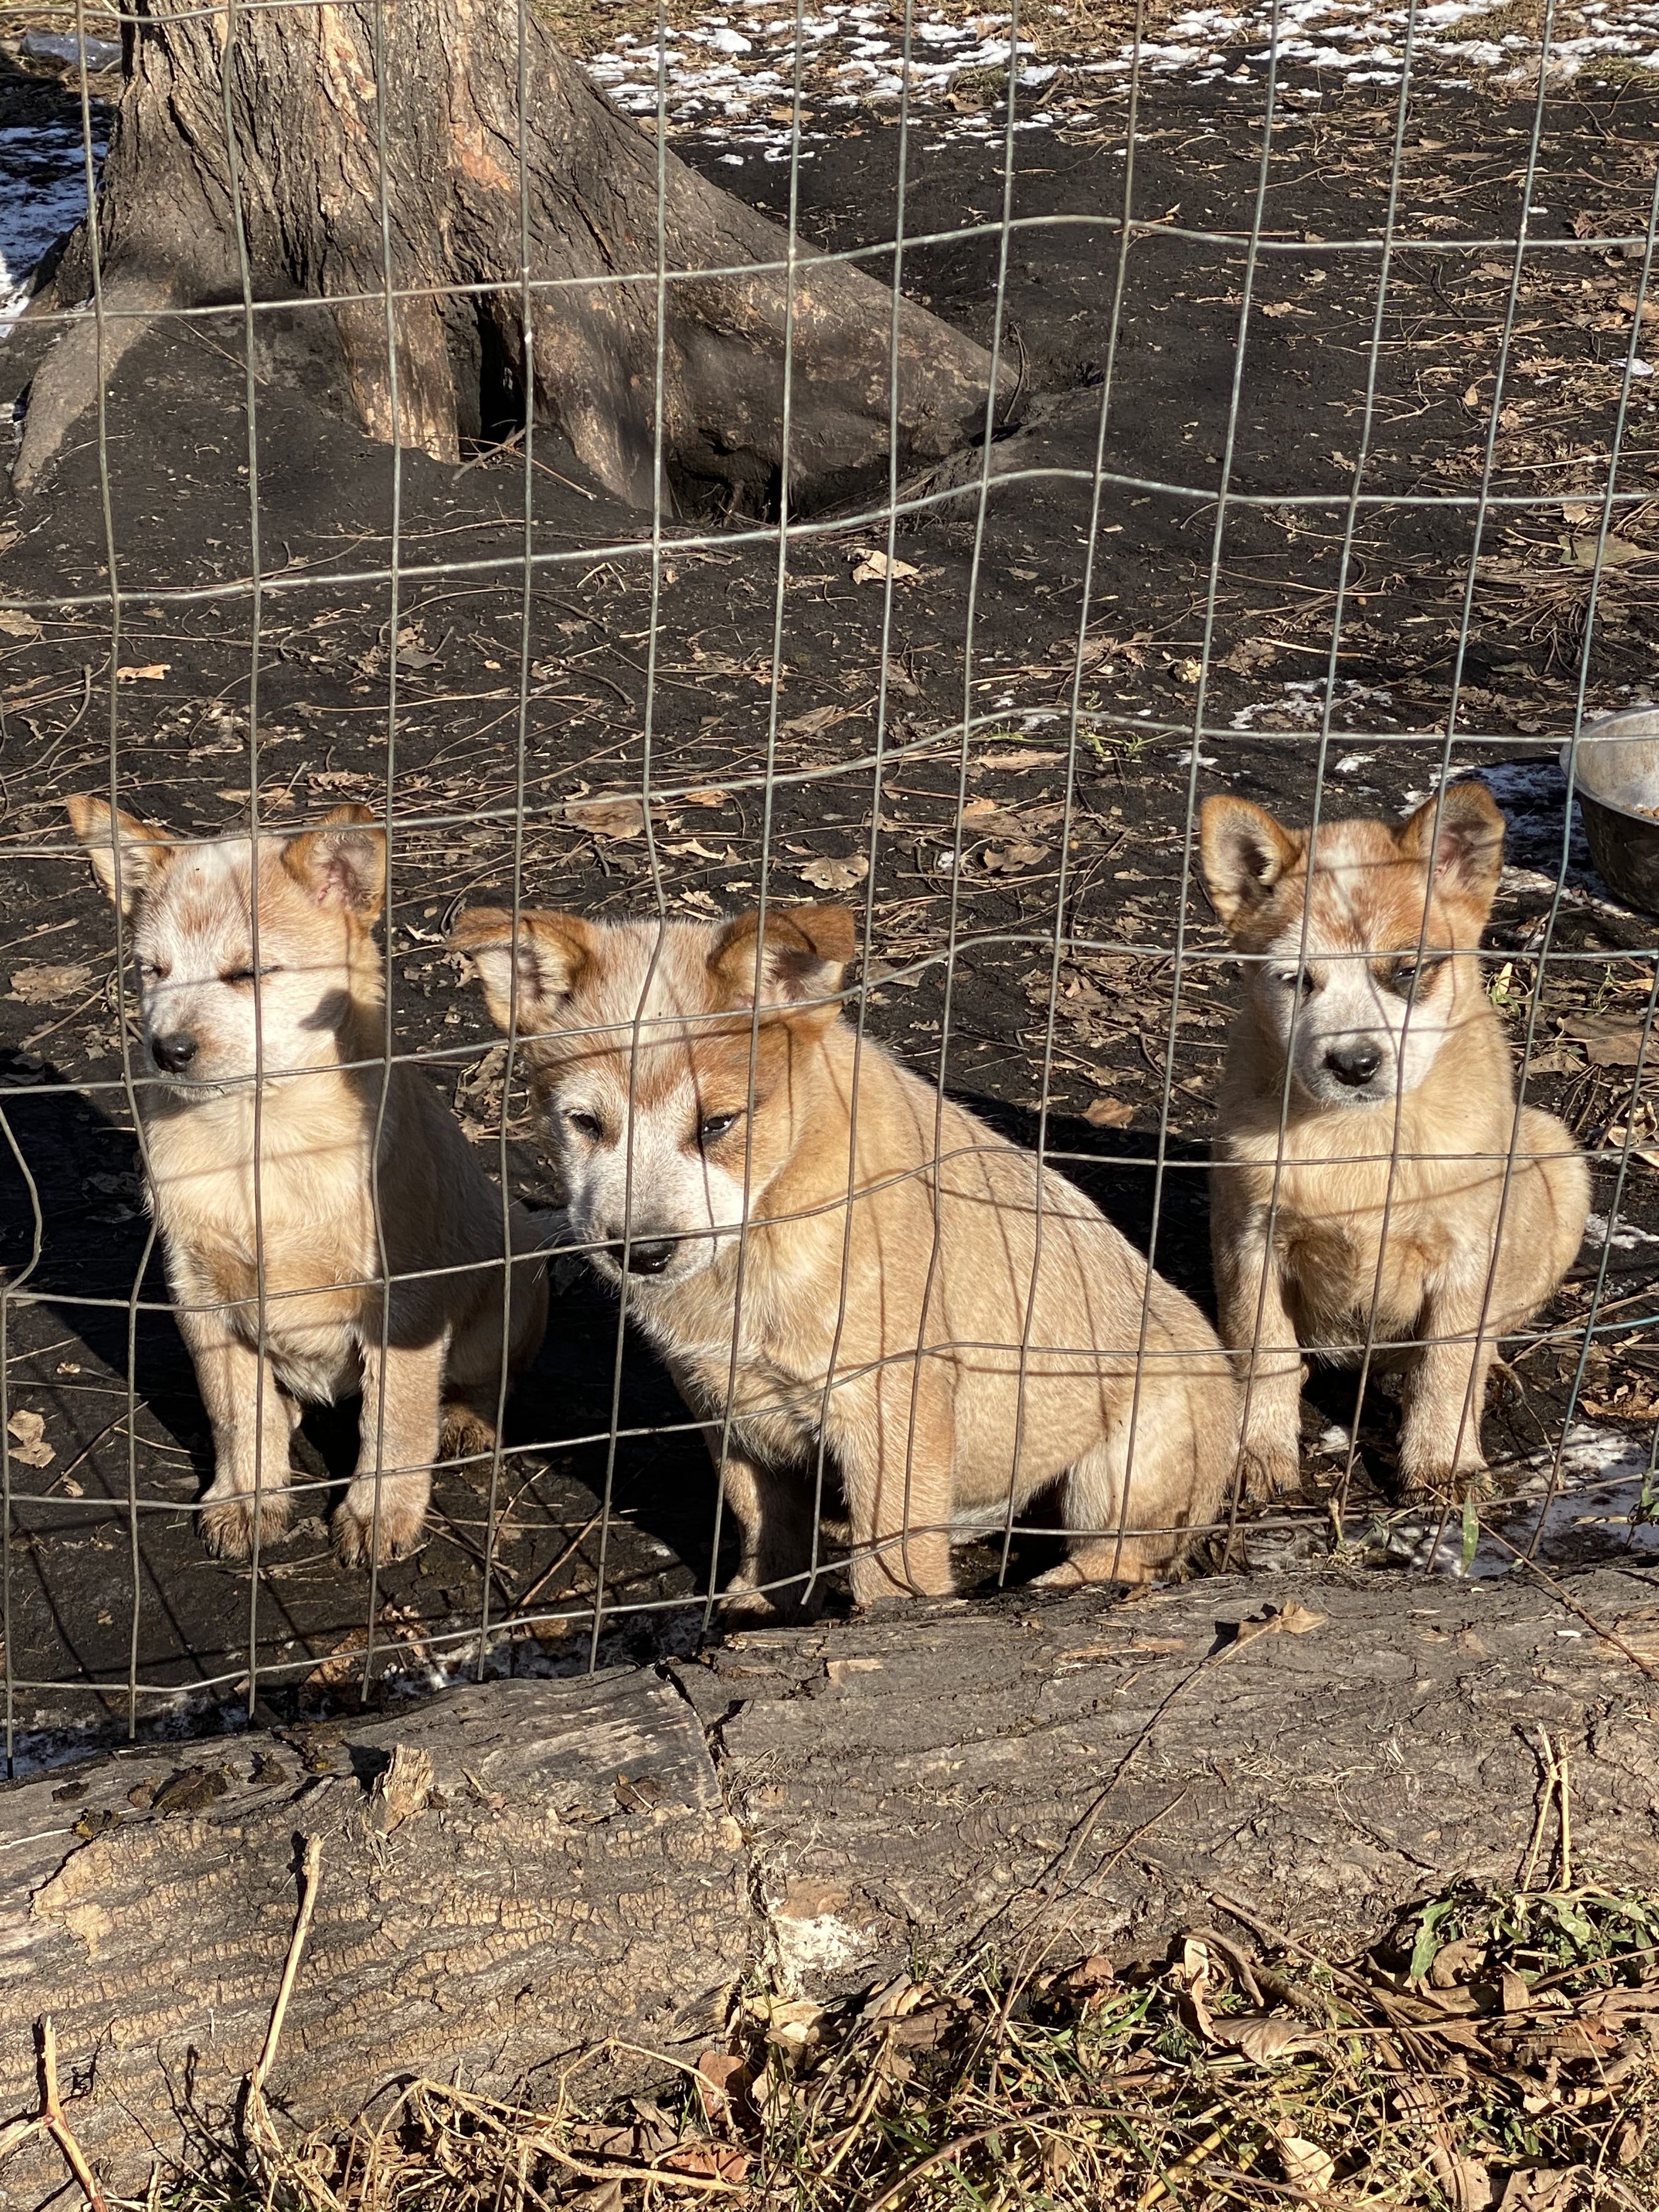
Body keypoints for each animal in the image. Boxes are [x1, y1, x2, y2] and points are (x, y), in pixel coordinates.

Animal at [67, 796, 548, 1564]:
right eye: (152, 970)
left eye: (248, 973)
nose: (167, 1051)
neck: (259, 1139)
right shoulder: (200, 1294)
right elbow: (237, 1412)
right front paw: (247, 1496)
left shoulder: (403, 1304)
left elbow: (394, 1419)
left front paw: (381, 1512)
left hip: (521, 1262)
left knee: (480, 1379)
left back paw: (465, 1418)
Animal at [451, 900, 1238, 1612]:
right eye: (585, 1123)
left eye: (718, 1124)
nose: (639, 1253)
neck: (760, 1236)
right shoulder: (725, 1404)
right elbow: (763, 1520)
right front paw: (757, 1605)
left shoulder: (887, 1406)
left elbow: (887, 1567)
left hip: (1130, 1454)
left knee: (1125, 1556)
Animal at [1200, 781, 1588, 1501]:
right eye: (1299, 979)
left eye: (1408, 971)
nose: (1354, 1064)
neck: (1360, 1138)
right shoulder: (1249, 1241)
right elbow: (1263, 1350)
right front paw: (1256, 1453)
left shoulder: (1466, 1257)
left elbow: (1445, 1366)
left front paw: (1444, 1466)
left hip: (1559, 1152)